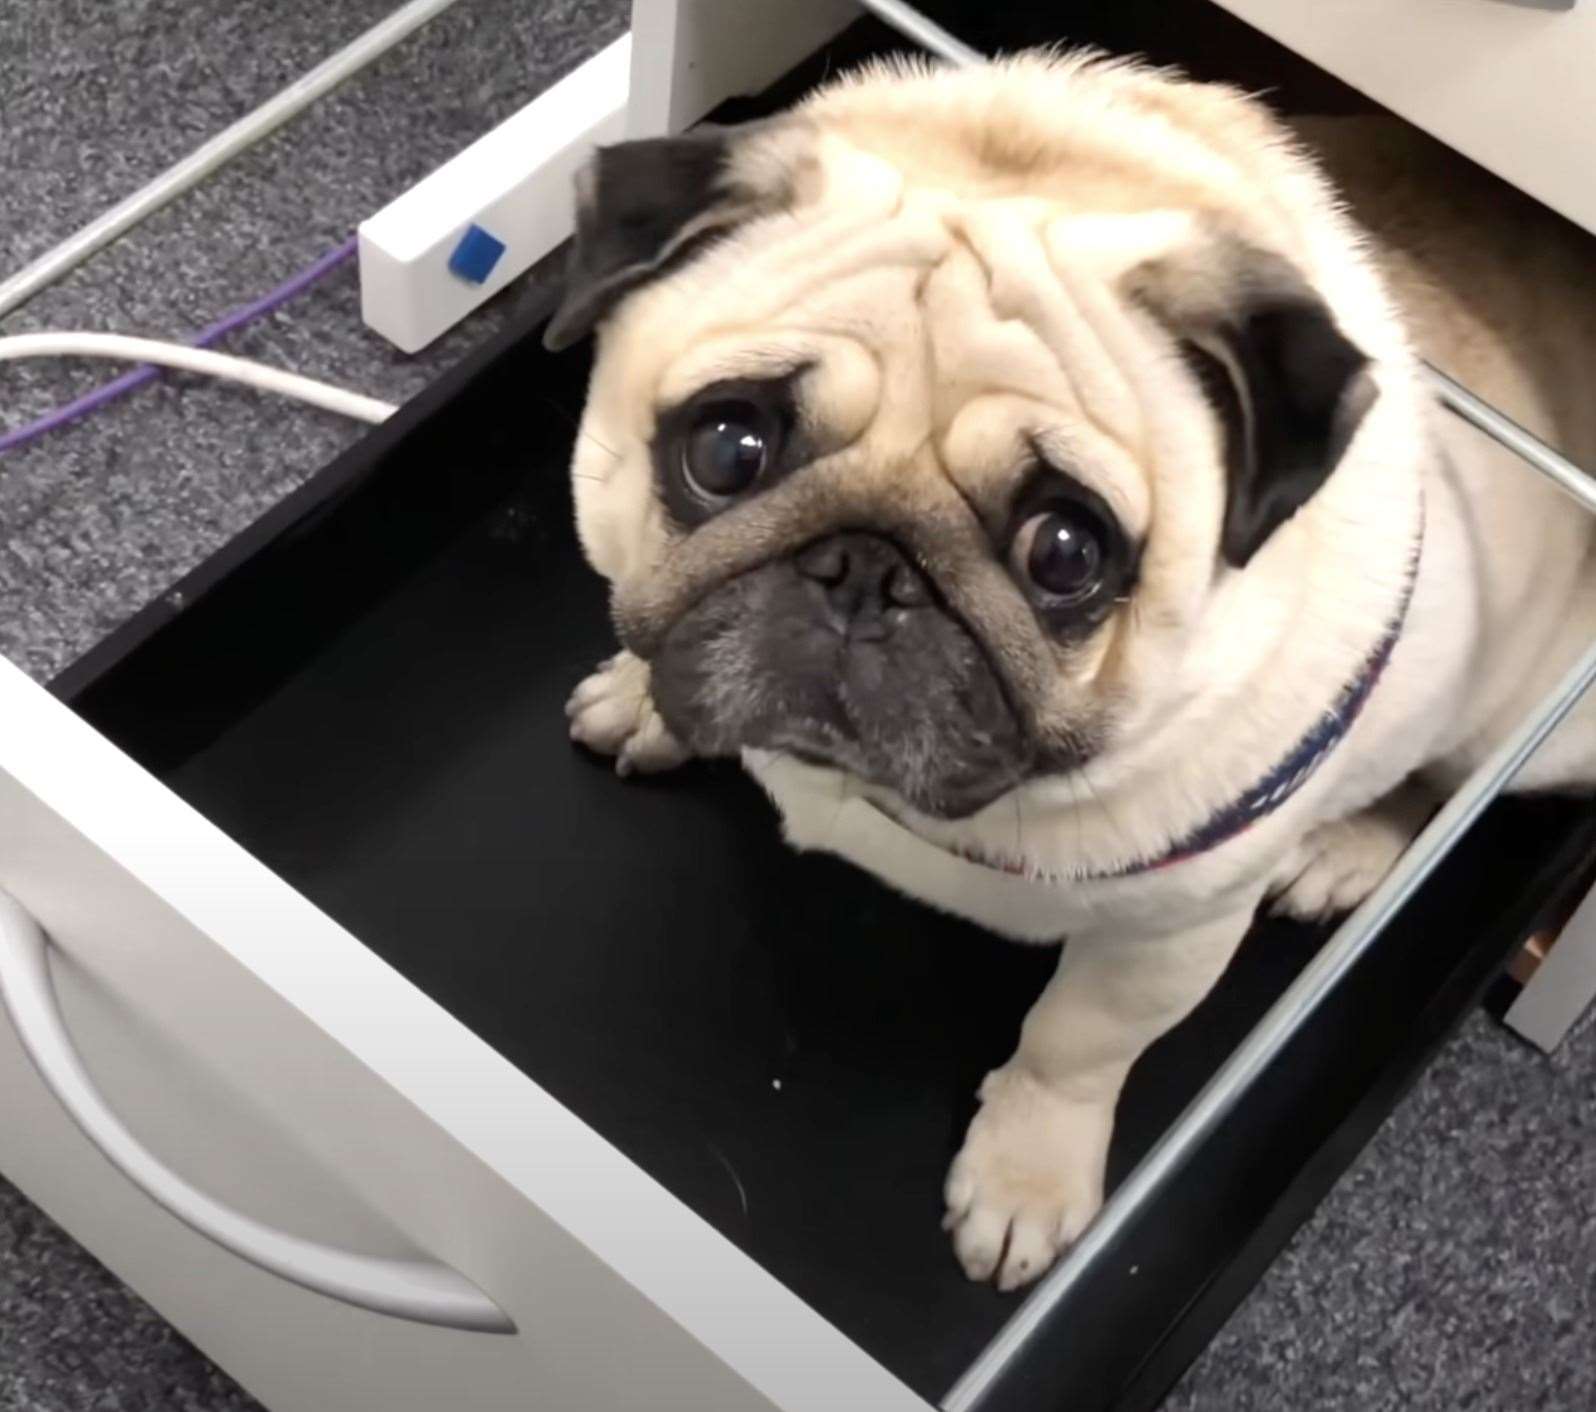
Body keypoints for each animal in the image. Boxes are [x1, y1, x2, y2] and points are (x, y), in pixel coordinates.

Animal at [545, 55, 1596, 1289]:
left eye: (1065, 552)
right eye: (727, 450)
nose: (863, 571)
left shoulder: (1169, 934)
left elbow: (1076, 1045)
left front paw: (1025, 1178)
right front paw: (642, 696)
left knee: (1453, 779)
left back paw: (1348, 846)